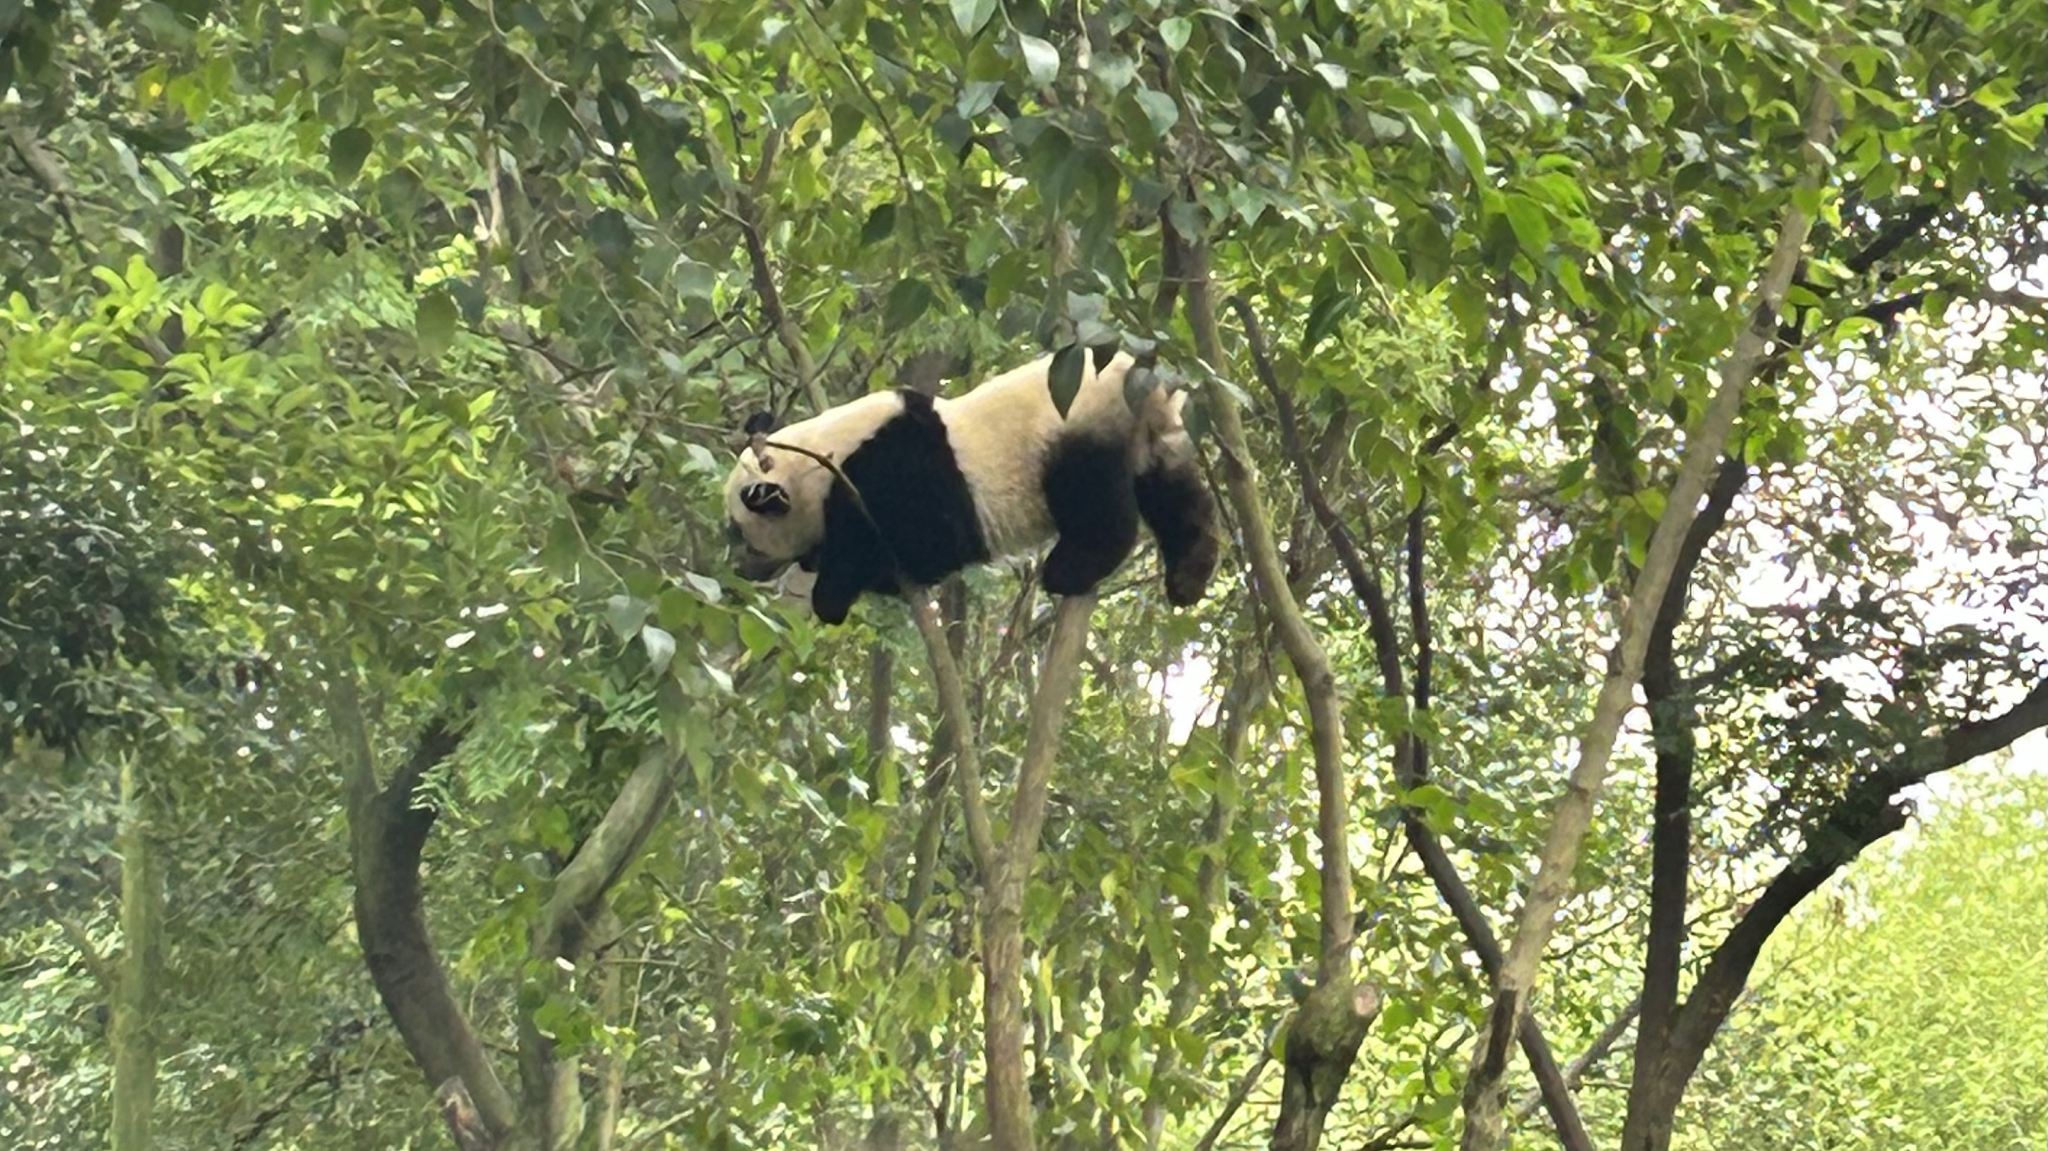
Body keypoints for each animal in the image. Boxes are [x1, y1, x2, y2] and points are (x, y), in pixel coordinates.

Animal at [724, 351, 1221, 625]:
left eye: (740, 534)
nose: (739, 571)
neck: (818, 456)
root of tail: (1141, 380)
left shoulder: (896, 468)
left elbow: (923, 542)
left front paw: (832, 589)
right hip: (1151, 433)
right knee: (1174, 494)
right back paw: (1190, 575)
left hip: (1073, 430)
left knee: (1093, 503)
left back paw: (1070, 569)